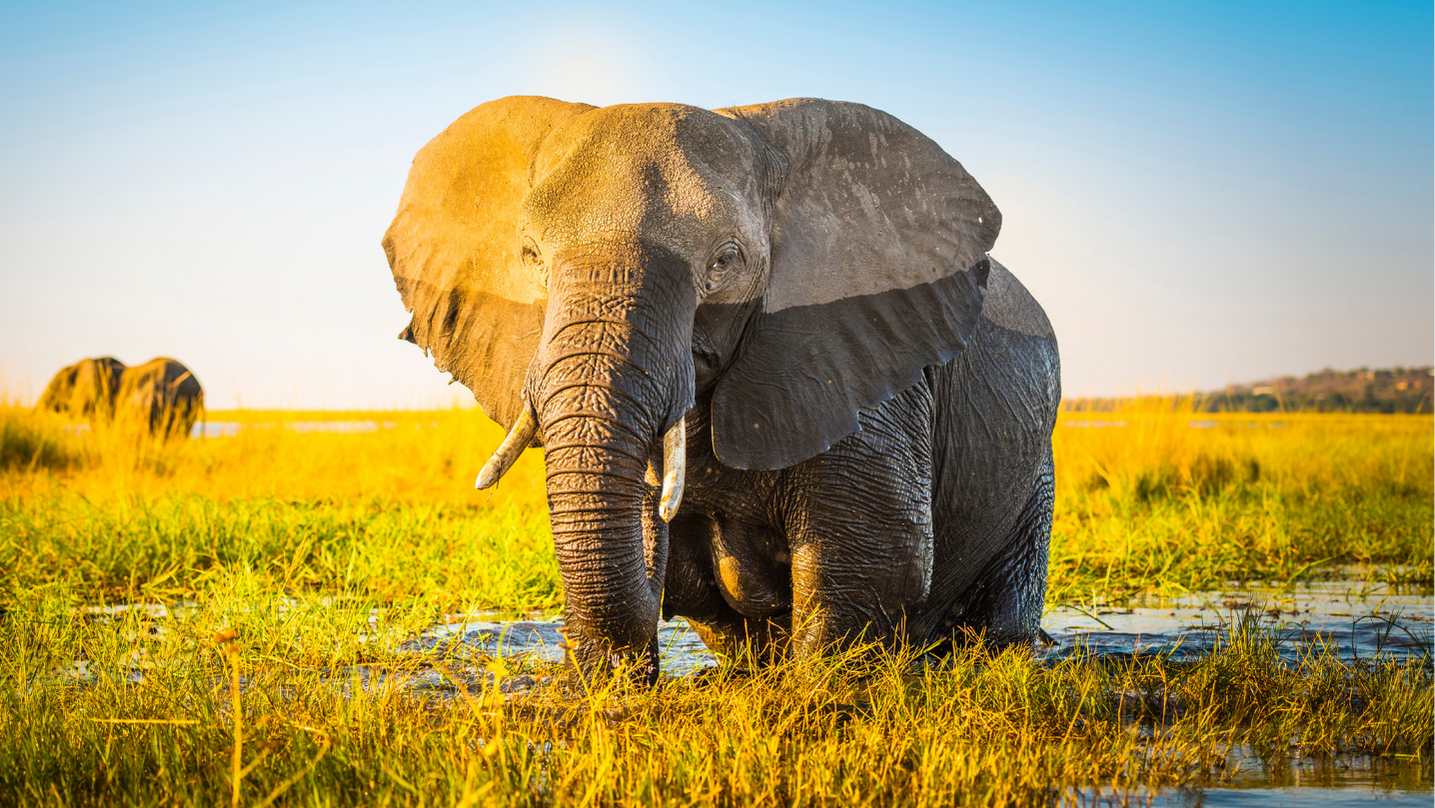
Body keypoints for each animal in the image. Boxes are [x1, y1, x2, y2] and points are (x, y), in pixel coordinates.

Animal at [384, 96, 1060, 679]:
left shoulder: (862, 352)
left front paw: (816, 700)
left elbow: (878, 555)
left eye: (724, 261)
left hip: (1035, 472)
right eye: (529, 256)